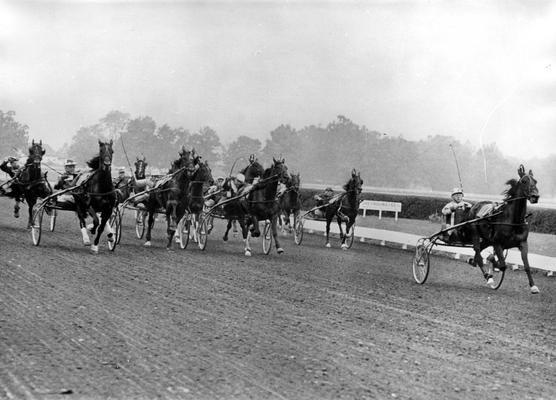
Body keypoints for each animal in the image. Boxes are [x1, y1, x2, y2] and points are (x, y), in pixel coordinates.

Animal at [462, 166, 540, 294]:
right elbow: (502, 264)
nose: (535, 196)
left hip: (487, 240)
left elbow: (527, 265)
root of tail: (474, 206)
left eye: (536, 181)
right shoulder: (497, 243)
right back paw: (488, 277)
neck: (513, 221)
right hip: (475, 233)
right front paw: (492, 261)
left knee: (477, 253)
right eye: (524, 181)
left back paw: (473, 262)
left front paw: (533, 286)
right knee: (478, 253)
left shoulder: (523, 243)